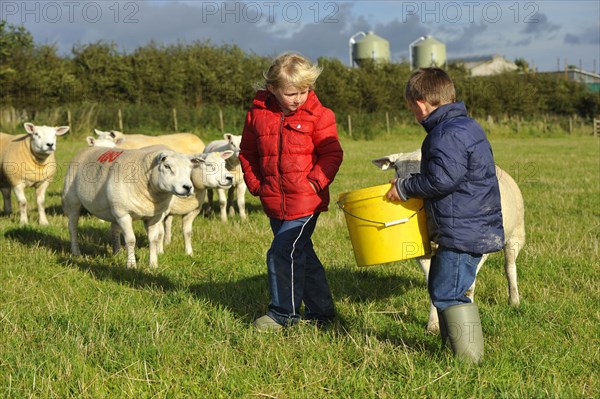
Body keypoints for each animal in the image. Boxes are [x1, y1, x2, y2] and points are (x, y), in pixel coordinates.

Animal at [63, 145, 200, 270]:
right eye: (167, 166)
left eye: (190, 169)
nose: (188, 187)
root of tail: (87, 148)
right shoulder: (124, 214)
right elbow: (131, 240)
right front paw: (131, 265)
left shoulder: (154, 216)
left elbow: (153, 240)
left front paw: (153, 264)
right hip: (72, 201)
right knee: (73, 227)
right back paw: (76, 252)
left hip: (114, 208)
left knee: (114, 230)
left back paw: (117, 253)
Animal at [372, 149, 524, 332]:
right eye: (396, 169)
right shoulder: (425, 253)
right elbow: (434, 287)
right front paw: (433, 324)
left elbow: (468, 287)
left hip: (516, 235)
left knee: (510, 267)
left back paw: (514, 300)